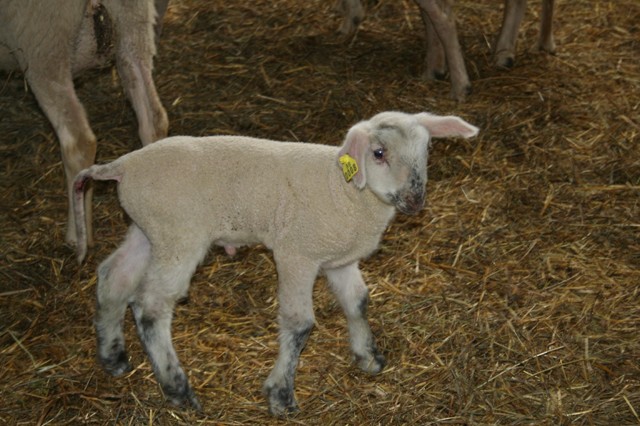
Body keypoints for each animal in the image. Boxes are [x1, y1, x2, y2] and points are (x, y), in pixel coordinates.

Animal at [72, 111, 479, 415]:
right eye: (378, 153)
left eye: (426, 149)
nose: (415, 200)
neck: (343, 187)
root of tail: (122, 165)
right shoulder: (297, 253)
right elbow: (299, 324)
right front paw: (281, 394)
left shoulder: (340, 260)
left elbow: (358, 302)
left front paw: (368, 356)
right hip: (179, 235)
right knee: (151, 305)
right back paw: (177, 388)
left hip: (149, 229)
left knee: (113, 277)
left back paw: (113, 356)